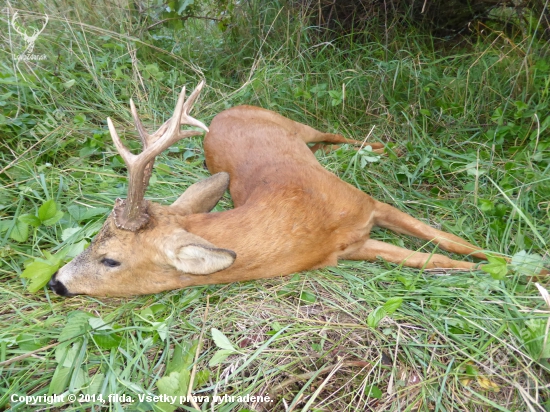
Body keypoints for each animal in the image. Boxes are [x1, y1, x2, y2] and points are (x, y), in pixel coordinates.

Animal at [48, 83, 492, 296]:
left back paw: (387, 147)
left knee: (332, 134)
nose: (56, 283)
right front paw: (491, 272)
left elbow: (447, 240)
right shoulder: (352, 249)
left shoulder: (368, 202)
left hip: (295, 124)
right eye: (91, 241)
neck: (306, 221)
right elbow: (433, 260)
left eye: (110, 260)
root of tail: (222, 114)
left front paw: (506, 262)